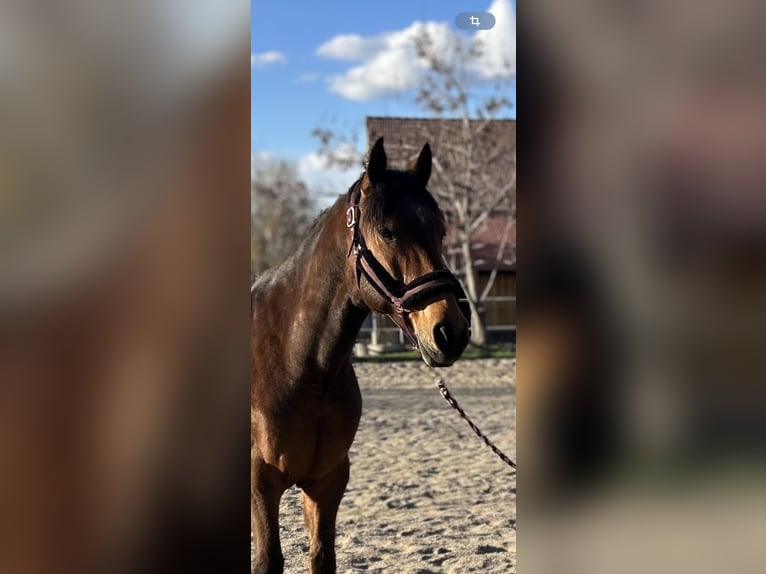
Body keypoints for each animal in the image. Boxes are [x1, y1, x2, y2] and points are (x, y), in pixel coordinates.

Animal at [250, 137, 470, 573]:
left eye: (440, 230)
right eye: (387, 231)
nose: (449, 332)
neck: (301, 365)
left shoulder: (328, 480)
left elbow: (322, 556)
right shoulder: (260, 480)